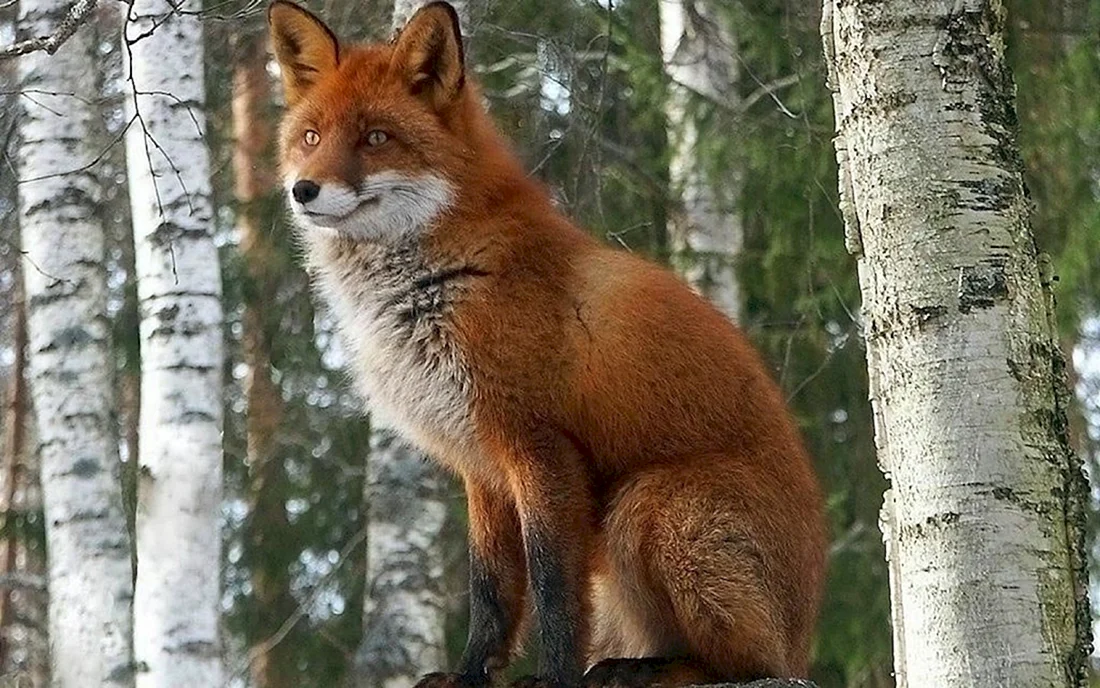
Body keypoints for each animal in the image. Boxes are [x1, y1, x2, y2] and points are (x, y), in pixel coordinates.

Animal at [267, 2, 827, 686]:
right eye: (311, 137)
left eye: (375, 138)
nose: (304, 190)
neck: (436, 285)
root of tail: (803, 640)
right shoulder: (479, 464)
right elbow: (491, 589)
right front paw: (471, 673)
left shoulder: (539, 445)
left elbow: (554, 586)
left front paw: (555, 675)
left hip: (650, 505)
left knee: (743, 662)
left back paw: (647, 669)